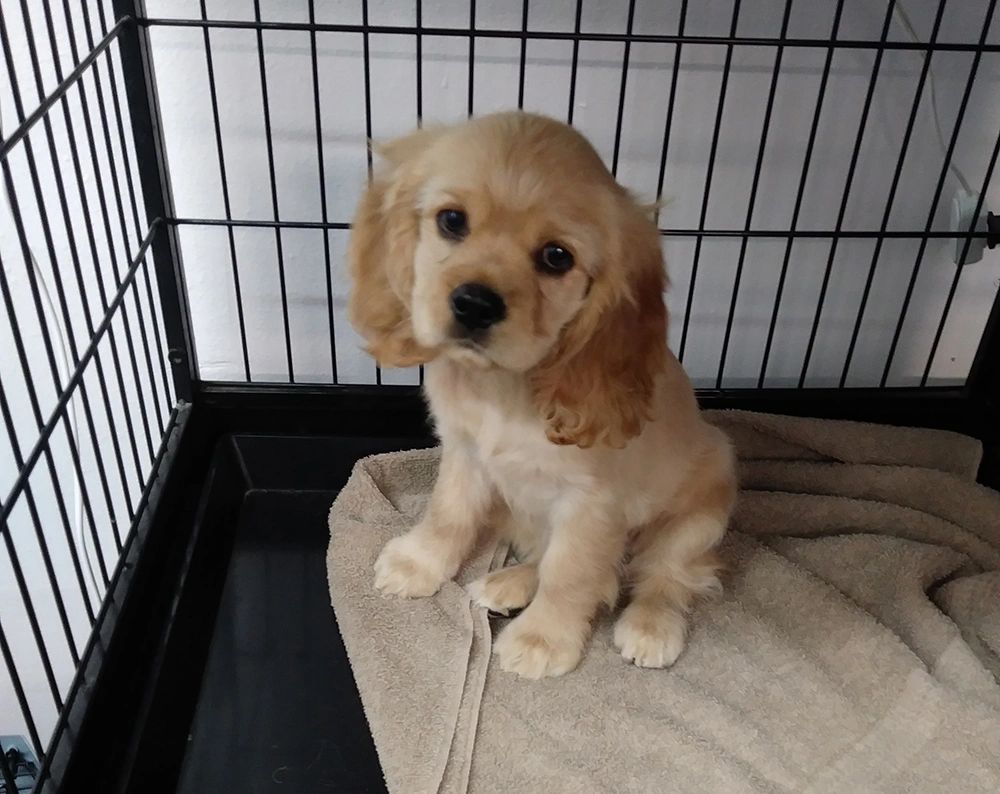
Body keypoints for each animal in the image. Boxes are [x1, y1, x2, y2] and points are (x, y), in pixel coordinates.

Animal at [350, 111, 736, 676]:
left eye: (557, 257)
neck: (502, 385)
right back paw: (508, 582)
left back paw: (651, 625)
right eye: (451, 220)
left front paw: (543, 639)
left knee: (665, 575)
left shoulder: (591, 502)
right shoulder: (463, 451)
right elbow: (449, 512)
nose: (474, 304)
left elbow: (570, 572)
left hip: (701, 513)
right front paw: (419, 562)